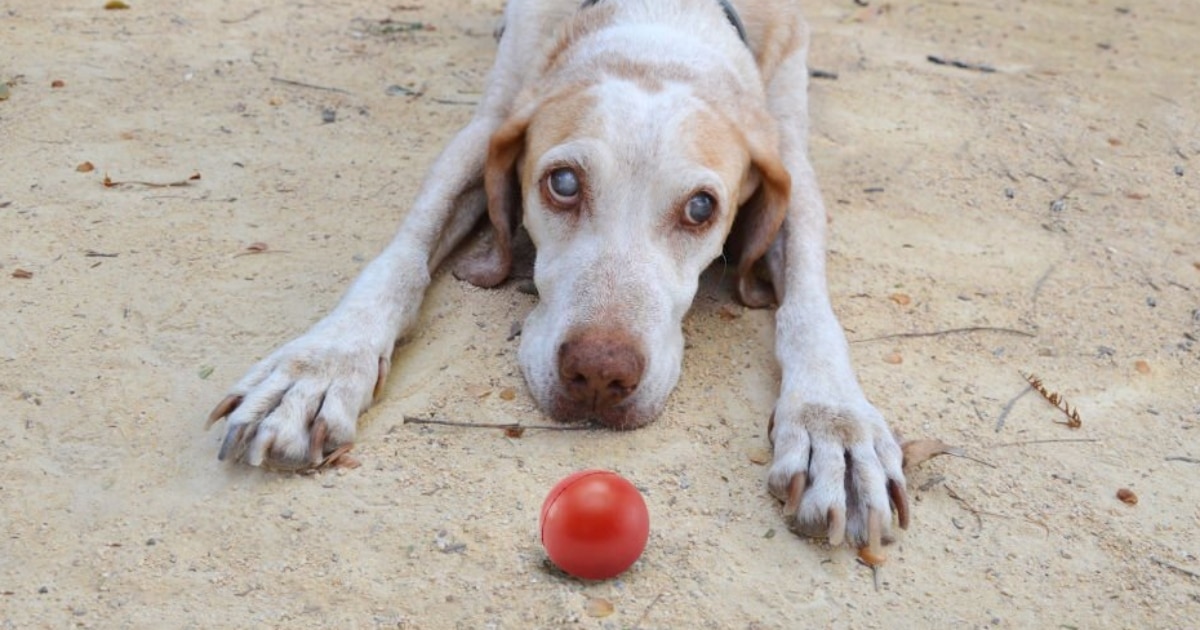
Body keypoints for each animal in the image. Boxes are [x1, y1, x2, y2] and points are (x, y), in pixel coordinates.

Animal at [206, 0, 907, 549]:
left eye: (702, 208)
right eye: (563, 183)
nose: (599, 374)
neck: (662, 29)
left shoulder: (792, 160)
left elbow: (810, 308)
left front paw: (833, 426)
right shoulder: (487, 124)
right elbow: (401, 255)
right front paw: (320, 366)